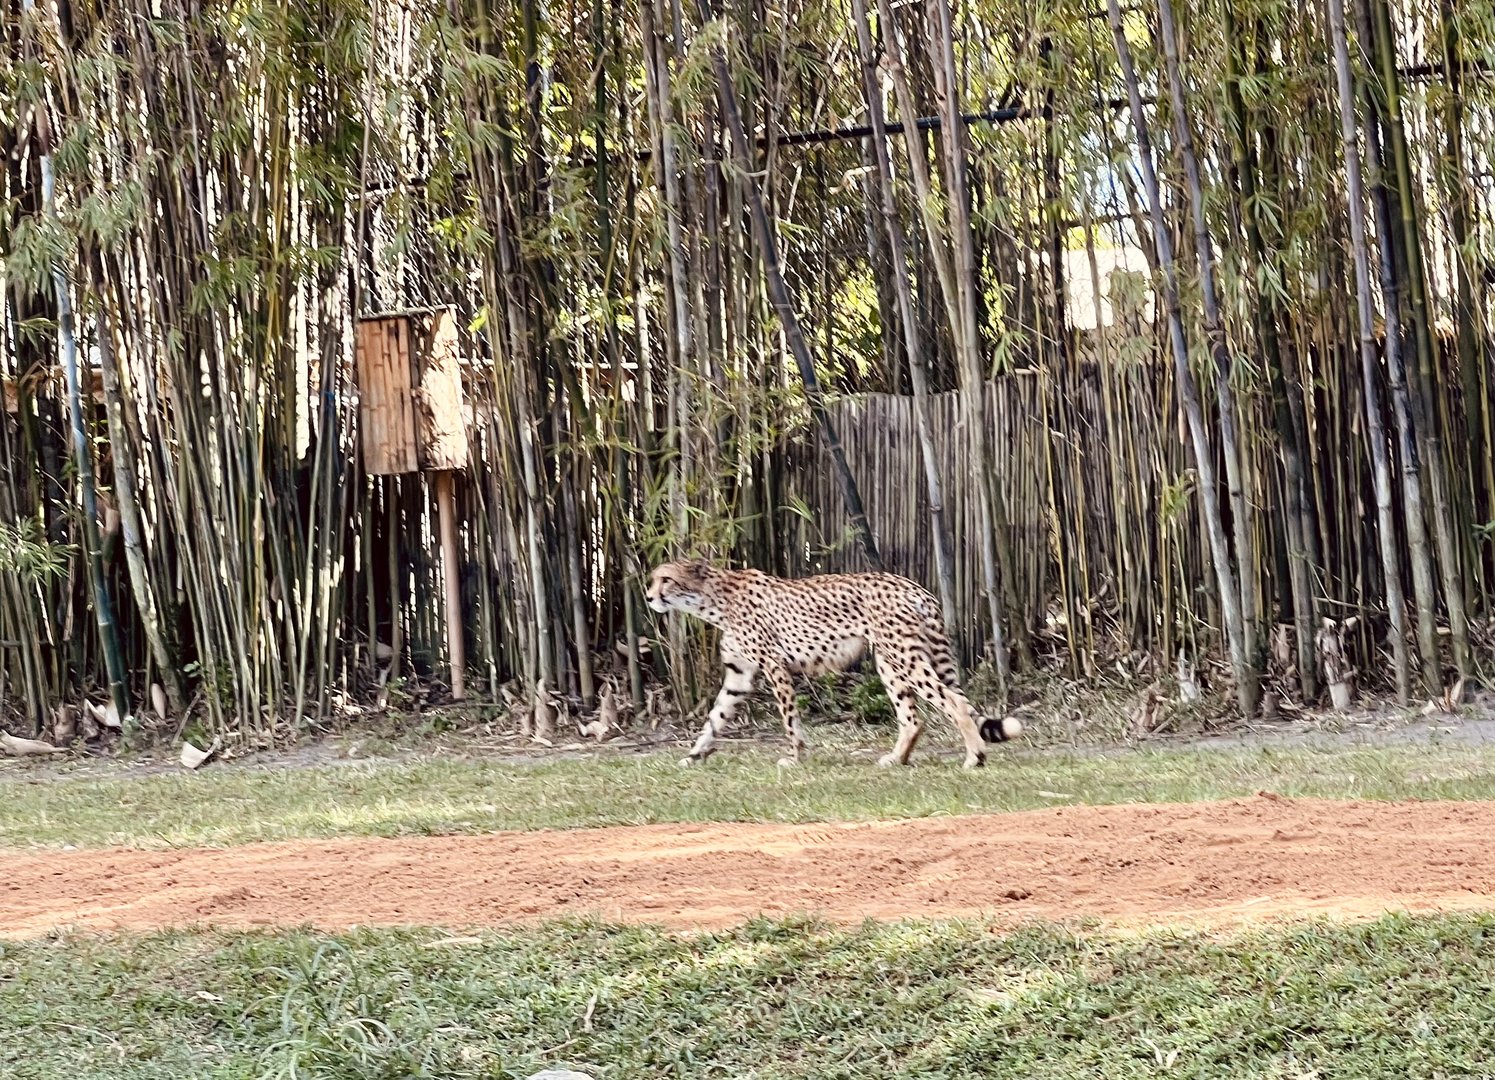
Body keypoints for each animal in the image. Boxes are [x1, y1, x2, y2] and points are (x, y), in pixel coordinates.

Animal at [645, 558, 1021, 768]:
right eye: (653, 579)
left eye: (667, 579)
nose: (648, 597)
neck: (714, 599)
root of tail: (915, 587)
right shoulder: (740, 675)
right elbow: (714, 718)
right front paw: (694, 755)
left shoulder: (775, 666)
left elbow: (790, 721)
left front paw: (795, 758)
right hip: (889, 660)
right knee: (913, 718)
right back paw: (897, 760)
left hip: (903, 655)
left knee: (954, 701)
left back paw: (974, 758)